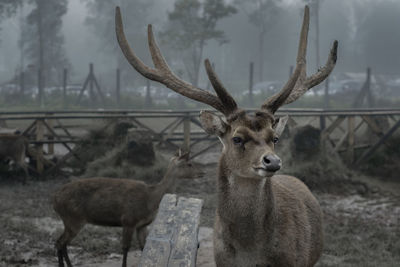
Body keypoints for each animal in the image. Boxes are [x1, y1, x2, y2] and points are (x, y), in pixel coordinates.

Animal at [52, 151, 189, 267]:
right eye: (189, 164)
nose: (197, 174)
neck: (151, 200)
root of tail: (55, 200)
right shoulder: (128, 220)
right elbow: (125, 247)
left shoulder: (142, 225)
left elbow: (144, 246)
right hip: (73, 218)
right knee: (60, 242)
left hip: (70, 220)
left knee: (61, 243)